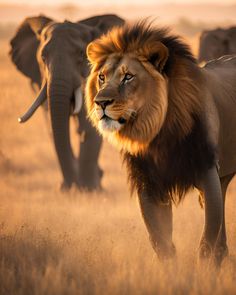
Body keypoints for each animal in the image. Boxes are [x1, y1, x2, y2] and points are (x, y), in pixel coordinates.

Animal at [9, 14, 124, 192]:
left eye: (81, 55)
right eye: (43, 57)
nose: (69, 186)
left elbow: (90, 125)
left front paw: (89, 191)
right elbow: (52, 123)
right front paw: (69, 190)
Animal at [85, 20, 236, 266]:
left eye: (128, 77)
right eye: (102, 77)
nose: (101, 102)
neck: (161, 132)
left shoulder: (207, 170)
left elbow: (207, 237)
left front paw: (203, 272)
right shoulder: (148, 181)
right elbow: (161, 241)